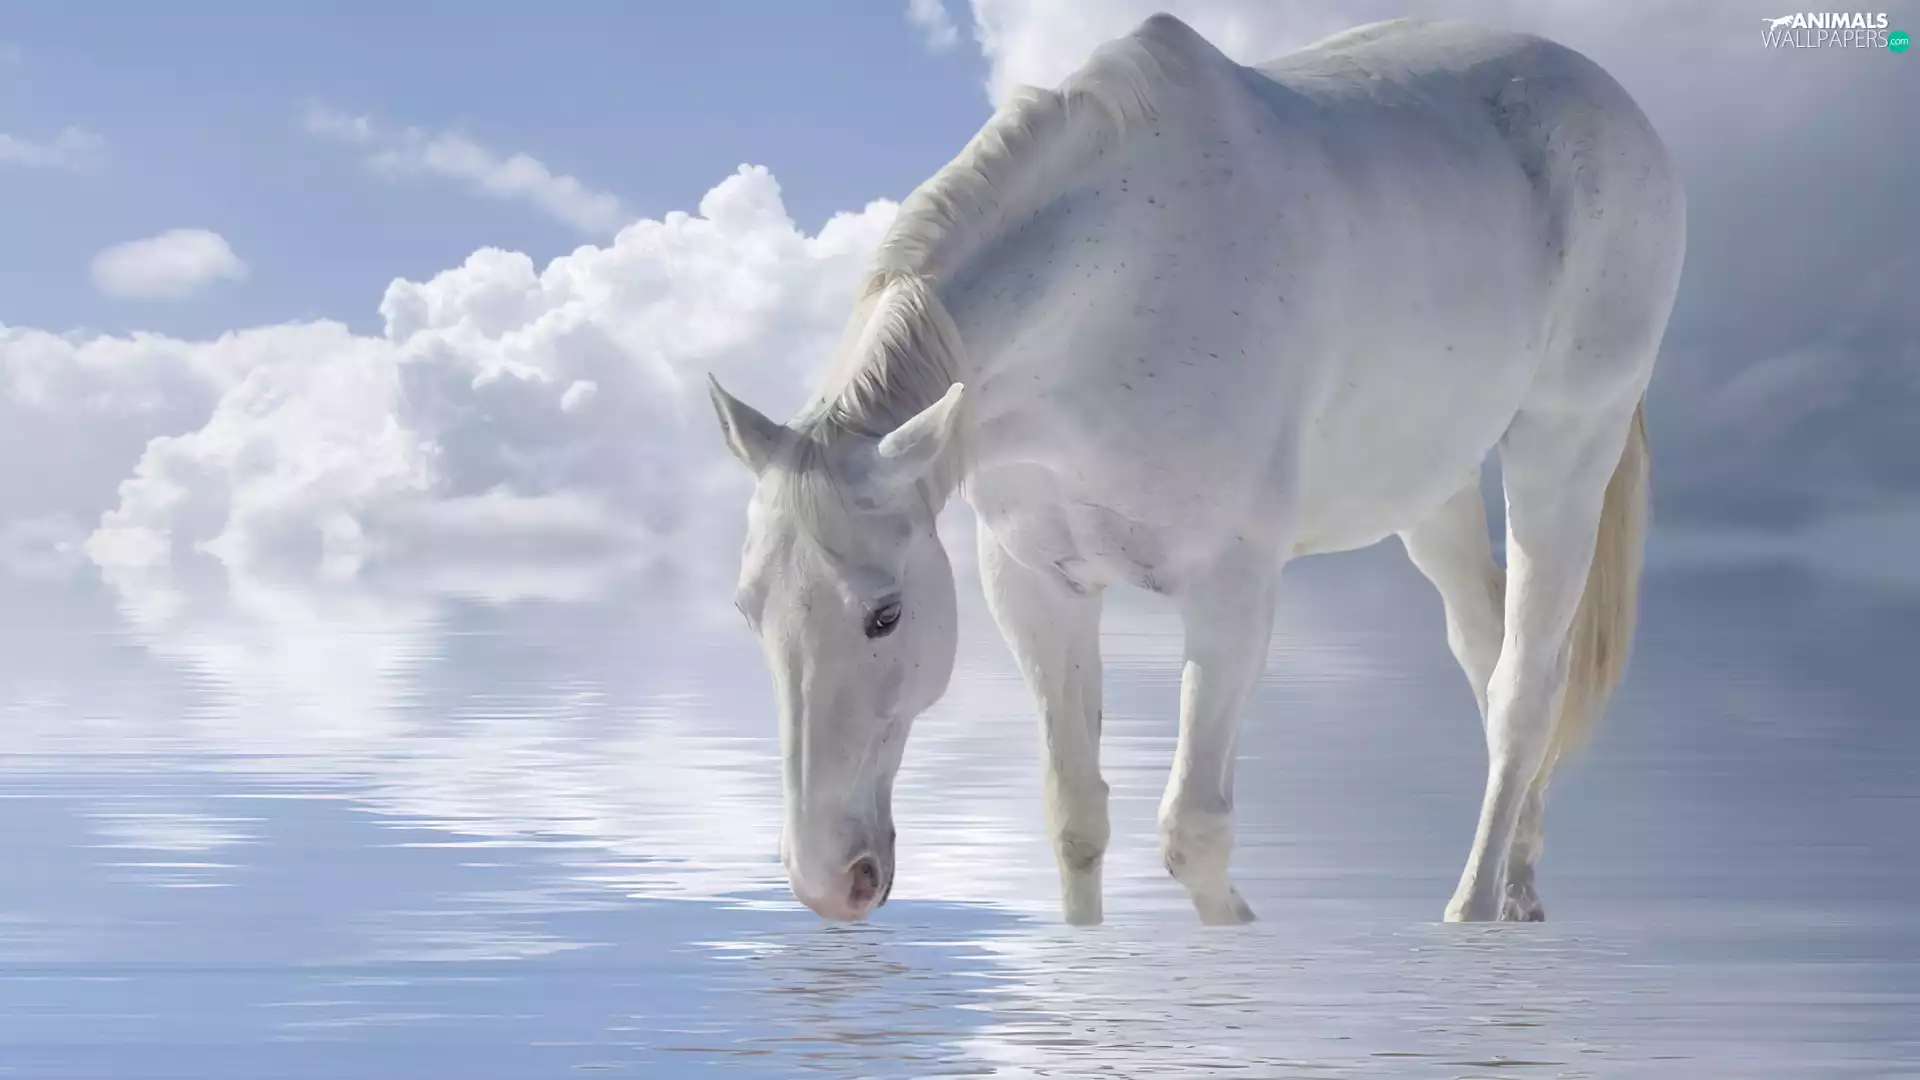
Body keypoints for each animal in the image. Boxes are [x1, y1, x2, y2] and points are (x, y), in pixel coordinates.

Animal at [708, 14, 1684, 925]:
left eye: (885, 616)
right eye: (750, 612)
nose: (828, 883)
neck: (1115, 289)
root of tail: (1613, 102)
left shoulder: (1231, 593)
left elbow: (1194, 834)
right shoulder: (1038, 586)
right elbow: (1076, 817)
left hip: (1564, 446)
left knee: (1527, 684)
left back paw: (1474, 910)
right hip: (1431, 492)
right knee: (1488, 653)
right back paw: (1519, 885)